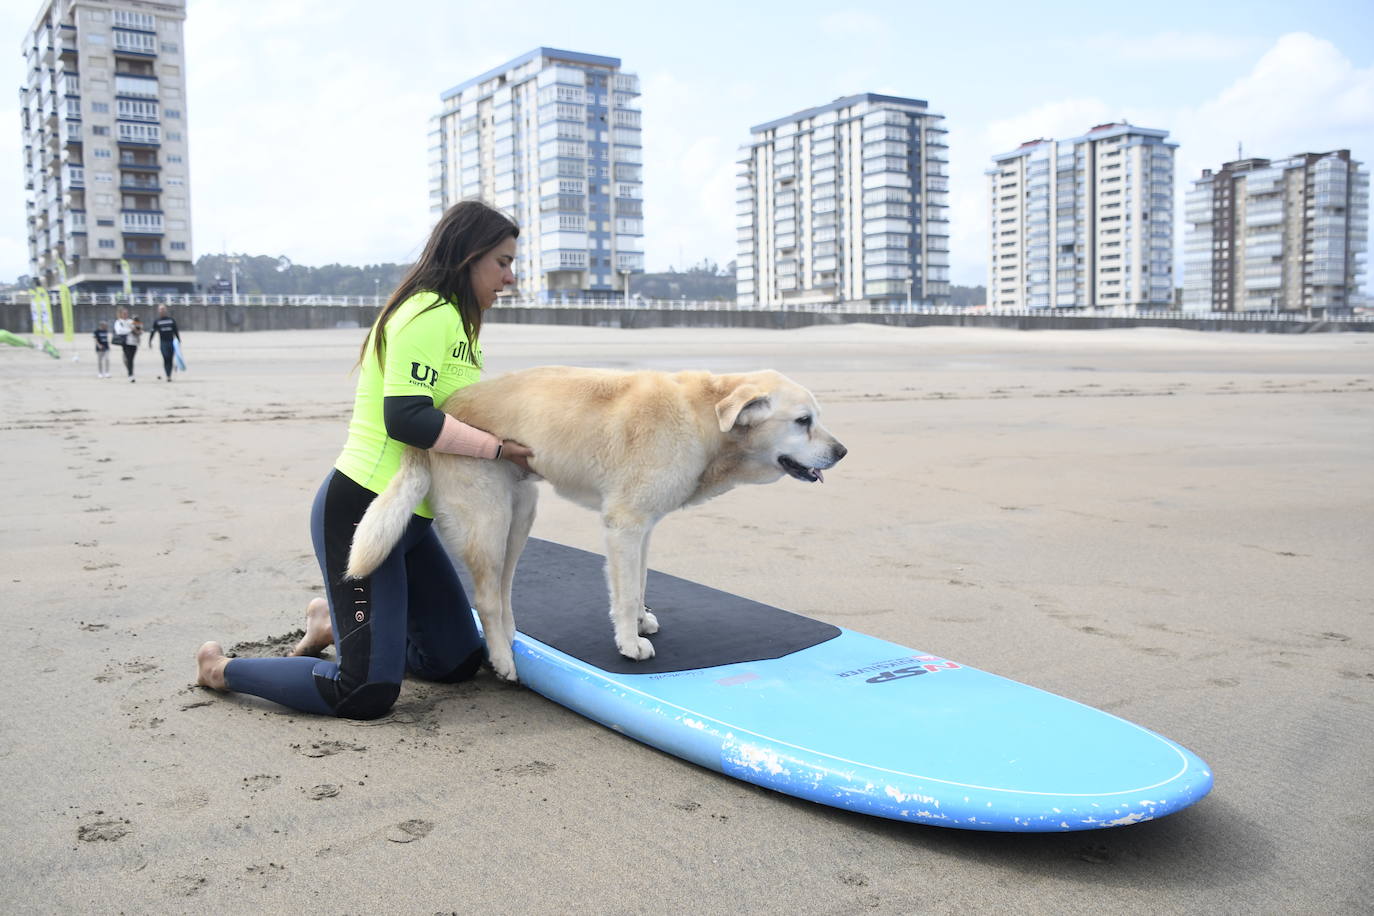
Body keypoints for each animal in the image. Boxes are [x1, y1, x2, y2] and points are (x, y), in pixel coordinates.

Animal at [343, 368, 846, 683]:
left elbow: (639, 582)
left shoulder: (644, 527)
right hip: (488, 519)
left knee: (502, 593)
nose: (842, 452)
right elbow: (622, 595)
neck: (706, 420)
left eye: (816, 419)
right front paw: (628, 642)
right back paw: (503, 659)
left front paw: (641, 620)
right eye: (803, 421)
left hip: (520, 513)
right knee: (485, 597)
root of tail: (445, 408)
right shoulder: (625, 524)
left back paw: (508, 639)